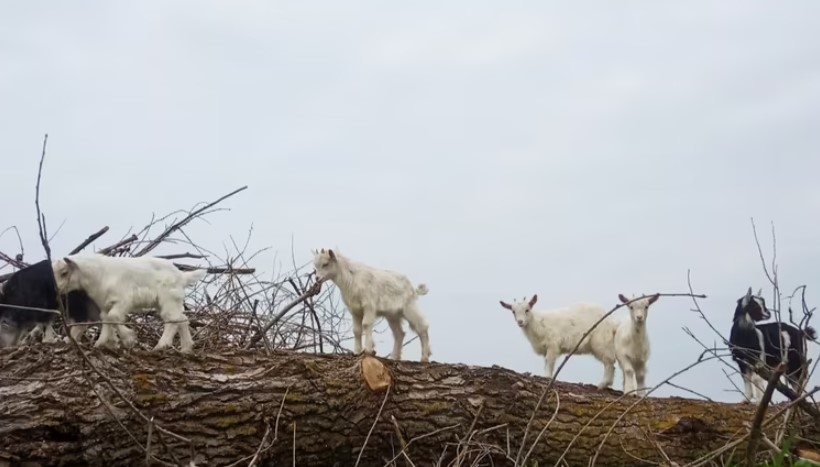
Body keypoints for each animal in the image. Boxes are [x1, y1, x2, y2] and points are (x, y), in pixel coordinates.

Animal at [51, 256, 207, 354]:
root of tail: (182, 276)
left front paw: (128, 338)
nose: (55, 289)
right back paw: (186, 348)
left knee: (172, 320)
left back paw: (161, 345)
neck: (99, 274)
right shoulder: (105, 303)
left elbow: (113, 316)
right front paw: (103, 343)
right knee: (182, 319)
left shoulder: (123, 299)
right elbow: (106, 319)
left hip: (168, 298)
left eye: (64, 272)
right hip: (169, 301)